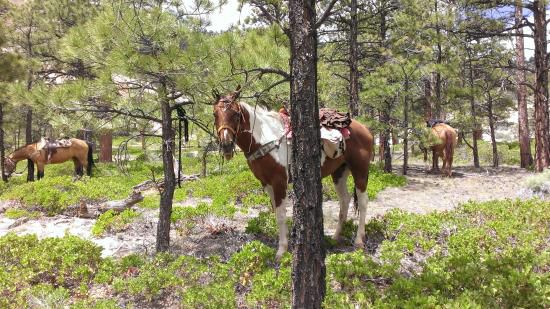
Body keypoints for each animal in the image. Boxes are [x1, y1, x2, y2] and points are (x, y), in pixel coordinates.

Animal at [213, 85, 378, 256]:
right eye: (215, 114)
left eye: (236, 114)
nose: (226, 144)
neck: (265, 138)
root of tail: (366, 129)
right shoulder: (266, 184)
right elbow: (277, 213)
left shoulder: (279, 182)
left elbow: (281, 215)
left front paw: (282, 250)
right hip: (339, 172)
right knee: (344, 200)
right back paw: (336, 236)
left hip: (360, 170)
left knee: (363, 202)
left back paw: (359, 240)